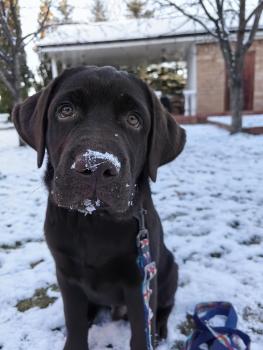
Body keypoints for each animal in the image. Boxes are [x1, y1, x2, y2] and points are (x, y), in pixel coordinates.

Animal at [11, 66, 186, 350]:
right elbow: (75, 321)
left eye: (134, 120)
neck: (93, 221)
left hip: (168, 268)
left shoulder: (139, 280)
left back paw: (160, 330)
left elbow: (141, 331)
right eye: (66, 110)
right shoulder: (66, 275)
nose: (96, 166)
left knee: (163, 307)